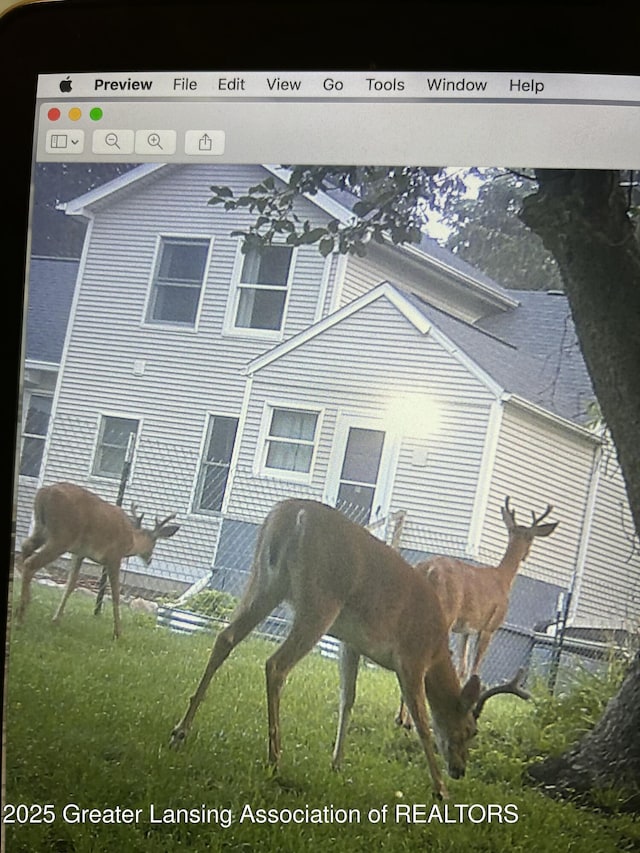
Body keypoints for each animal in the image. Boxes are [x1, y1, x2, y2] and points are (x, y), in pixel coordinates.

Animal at [18, 482, 179, 636]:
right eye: (154, 542)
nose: (149, 560)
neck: (132, 541)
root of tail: (45, 492)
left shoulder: (79, 553)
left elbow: (71, 584)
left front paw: (56, 620)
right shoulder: (114, 557)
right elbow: (115, 594)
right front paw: (118, 632)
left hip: (42, 529)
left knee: (25, 547)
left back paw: (22, 604)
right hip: (62, 537)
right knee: (30, 563)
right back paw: (22, 615)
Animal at [168, 500, 528, 800]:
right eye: (470, 731)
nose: (460, 770)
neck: (437, 651)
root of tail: (292, 515)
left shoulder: (350, 643)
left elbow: (348, 699)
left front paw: (337, 764)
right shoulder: (411, 659)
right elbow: (423, 723)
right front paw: (440, 790)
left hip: (265, 582)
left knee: (225, 638)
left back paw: (180, 731)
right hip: (320, 601)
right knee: (276, 665)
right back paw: (275, 759)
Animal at [396, 500, 556, 724]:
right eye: (531, 537)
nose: (527, 554)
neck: (503, 579)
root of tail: (426, 569)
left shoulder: (466, 630)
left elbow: (462, 668)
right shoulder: (489, 627)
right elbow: (475, 668)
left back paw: (402, 718)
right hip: (445, 613)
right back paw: (409, 721)